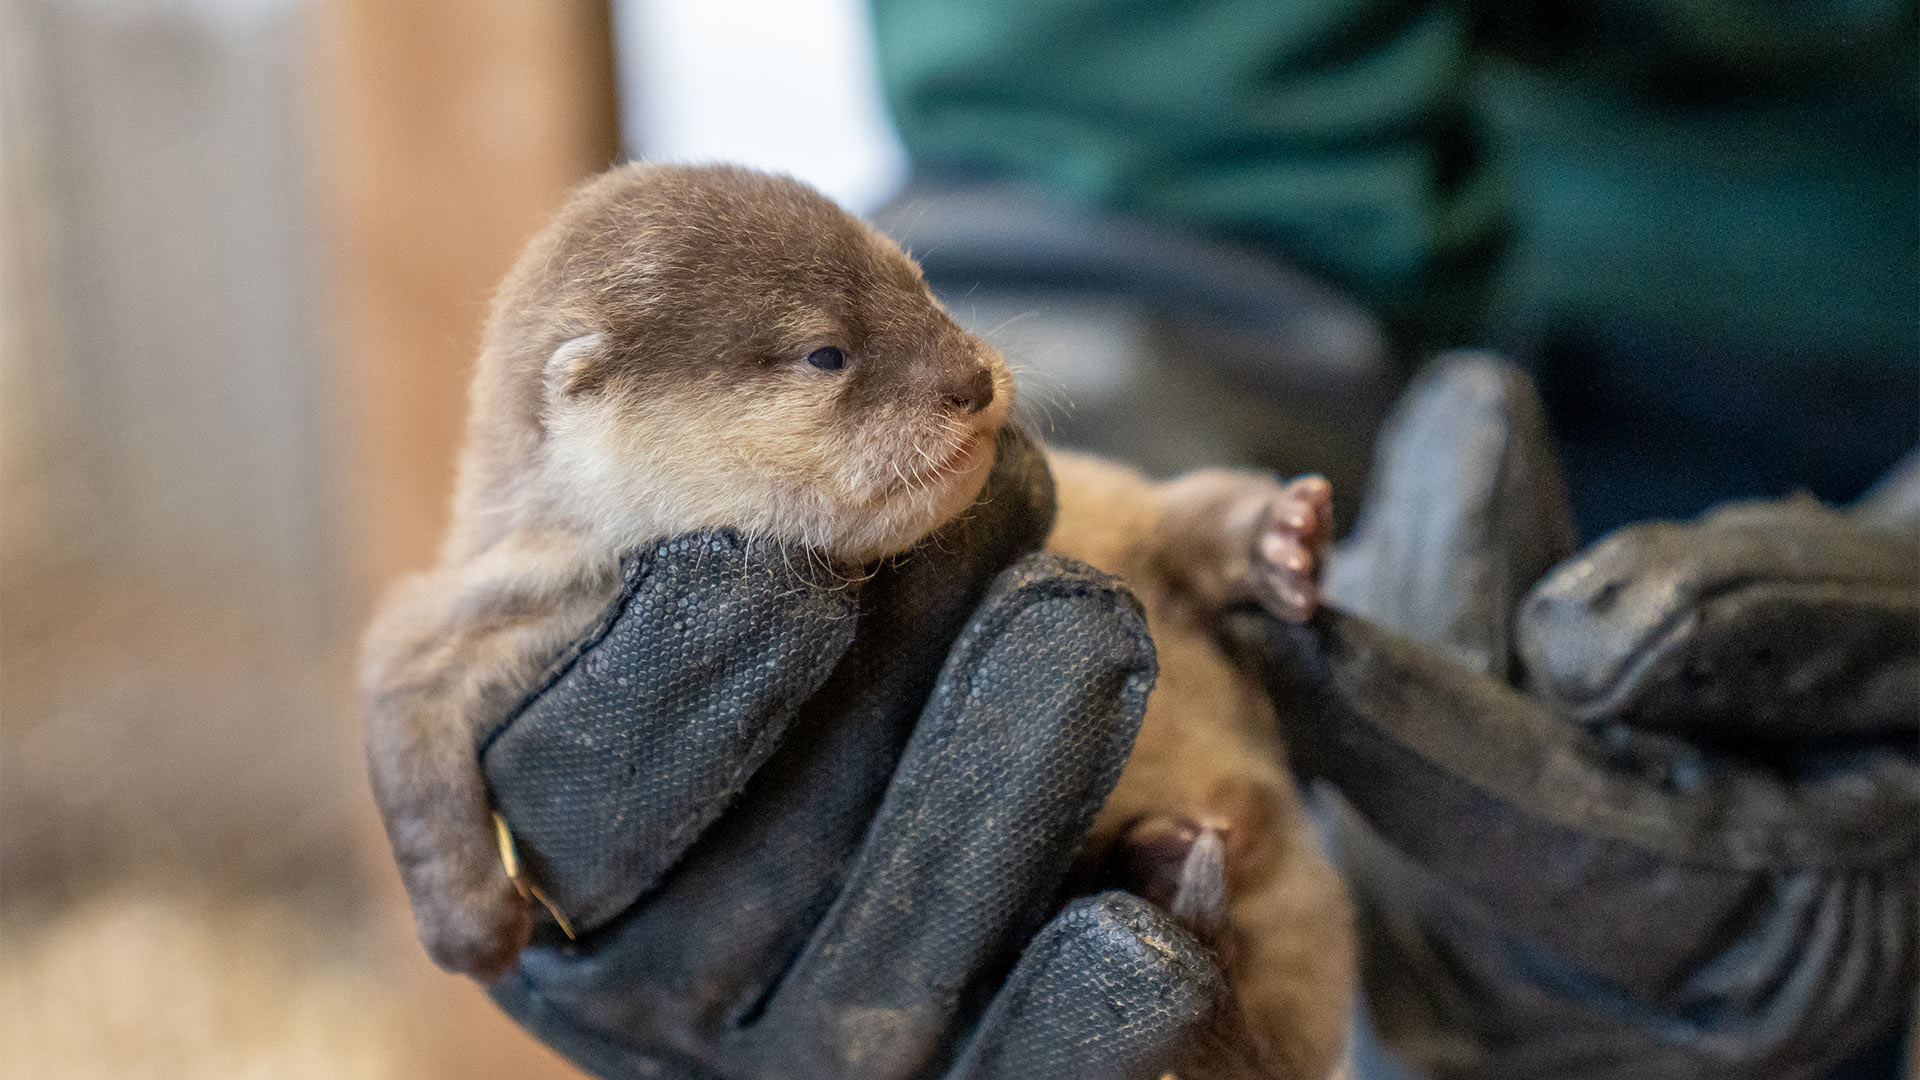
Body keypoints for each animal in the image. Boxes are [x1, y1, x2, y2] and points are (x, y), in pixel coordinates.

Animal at [361, 163, 1353, 1079]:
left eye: (918, 282)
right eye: (826, 354)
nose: (970, 379)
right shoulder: (494, 592)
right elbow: (396, 704)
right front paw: (469, 925)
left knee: (1188, 517)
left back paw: (1282, 542)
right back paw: (1162, 863)